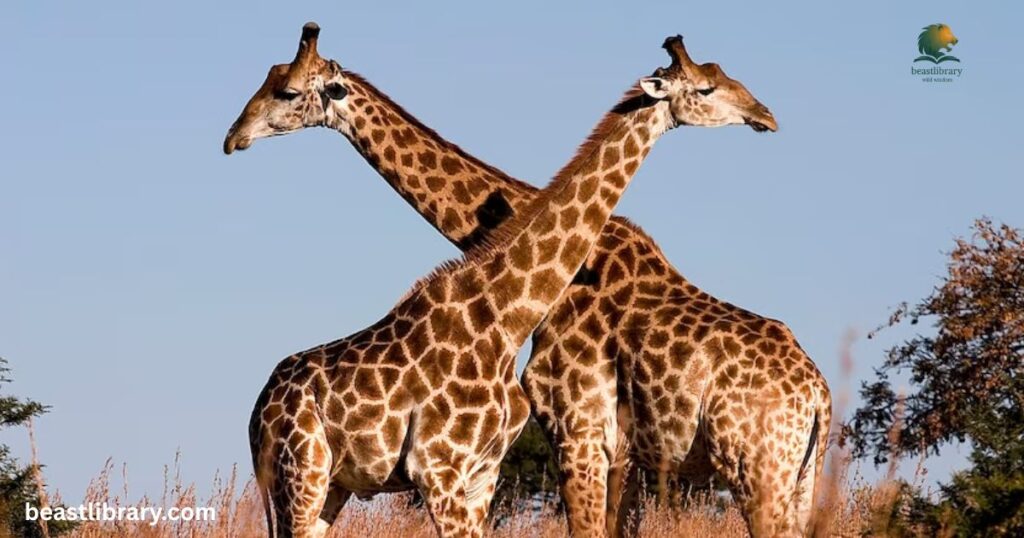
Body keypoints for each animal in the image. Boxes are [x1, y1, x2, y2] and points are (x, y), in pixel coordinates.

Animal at [225, 23, 829, 538]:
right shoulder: (581, 450)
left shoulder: (569, 438)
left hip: (764, 470)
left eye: (285, 91)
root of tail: (819, 395)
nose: (233, 136)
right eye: (709, 85)